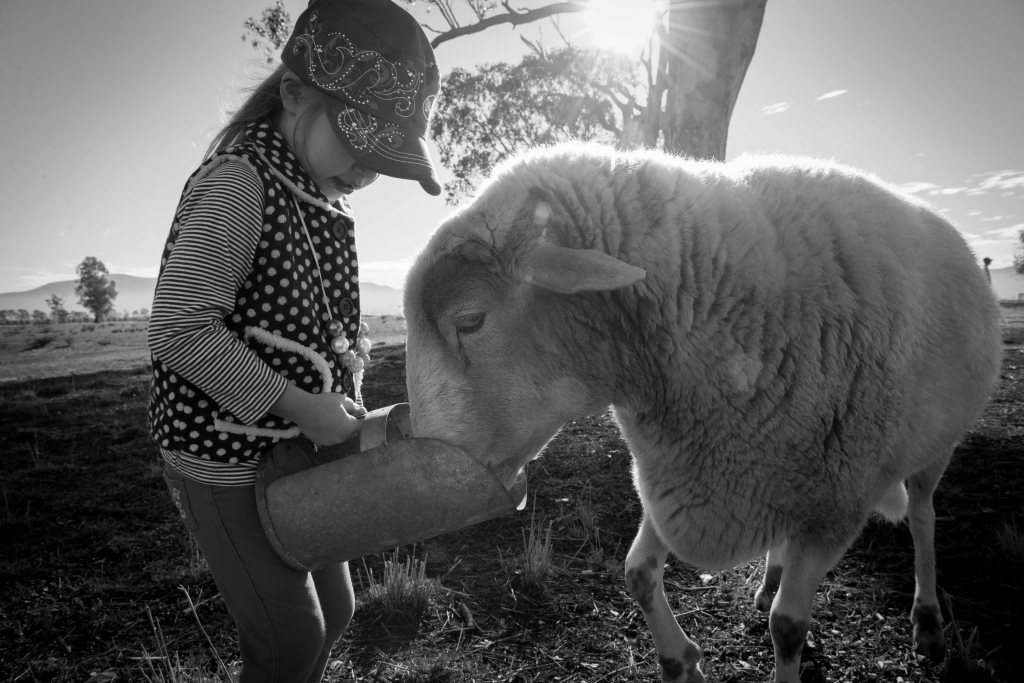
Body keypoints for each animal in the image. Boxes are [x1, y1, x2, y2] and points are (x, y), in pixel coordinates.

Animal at [402, 143, 1003, 683]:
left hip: (933, 447)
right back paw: (769, 578)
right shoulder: (678, 472)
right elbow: (638, 574)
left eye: (470, 320)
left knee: (923, 517)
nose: (432, 490)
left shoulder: (836, 506)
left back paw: (927, 619)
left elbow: (789, 627)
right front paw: (679, 662)